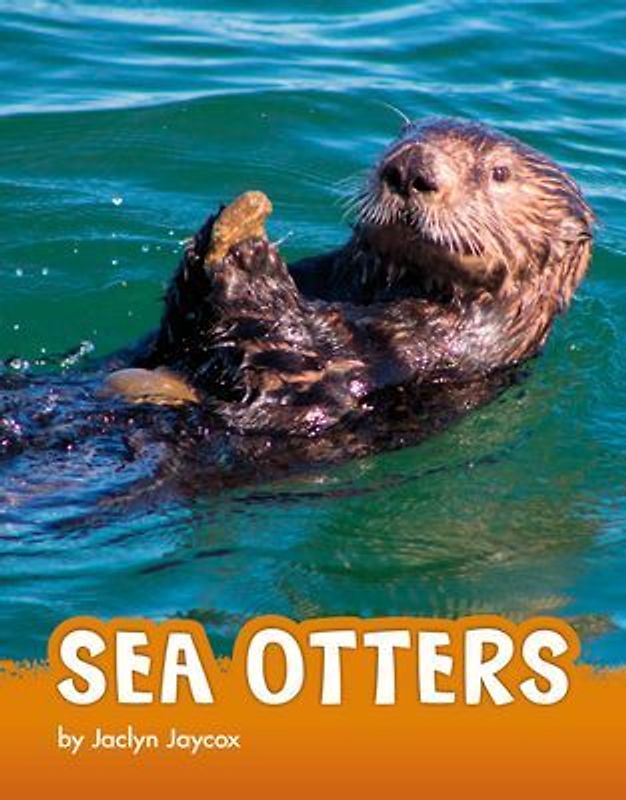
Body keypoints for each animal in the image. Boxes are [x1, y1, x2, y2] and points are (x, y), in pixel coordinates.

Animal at [1, 118, 594, 495]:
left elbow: (286, 360)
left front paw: (247, 259)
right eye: (403, 135)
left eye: (499, 174)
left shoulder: (420, 353)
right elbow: (170, 336)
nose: (409, 169)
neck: (374, 292)